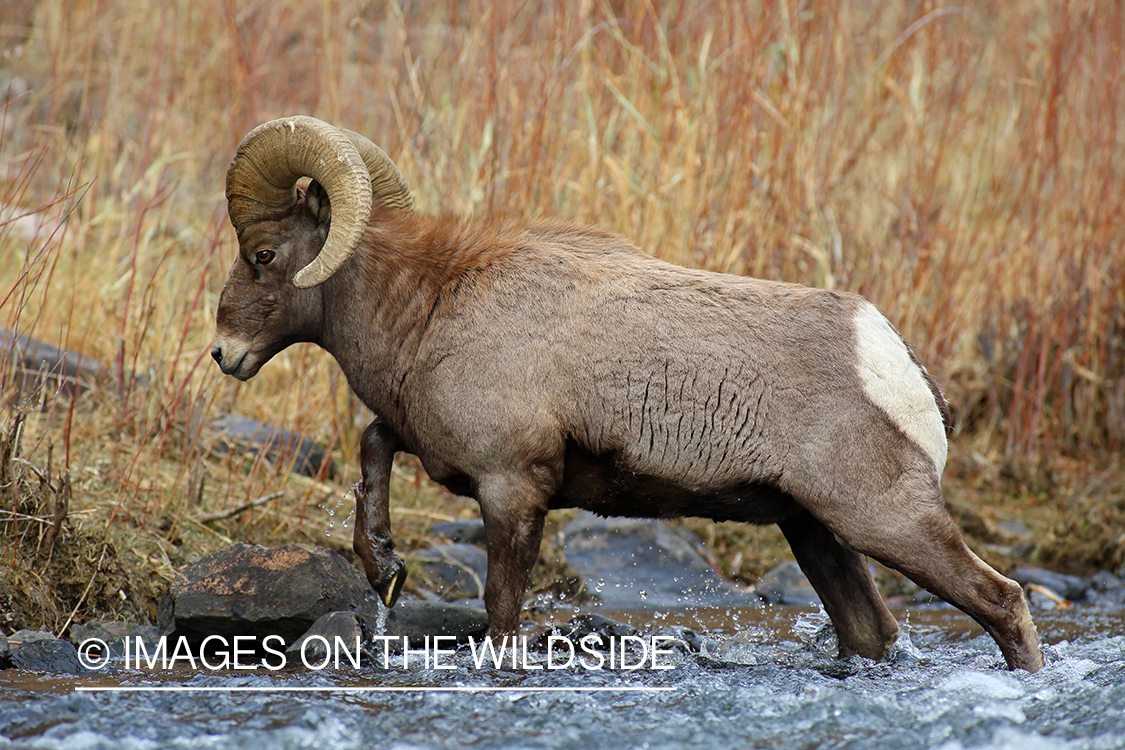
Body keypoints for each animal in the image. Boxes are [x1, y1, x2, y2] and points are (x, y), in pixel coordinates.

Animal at [211, 115, 1043, 672]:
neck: (429, 308)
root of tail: (891, 356)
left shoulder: (511, 487)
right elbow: (373, 439)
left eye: (264, 254)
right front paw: (382, 564)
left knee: (1001, 601)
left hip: (882, 519)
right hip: (813, 529)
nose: (224, 353)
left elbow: (501, 614)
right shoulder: (440, 448)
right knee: (871, 631)